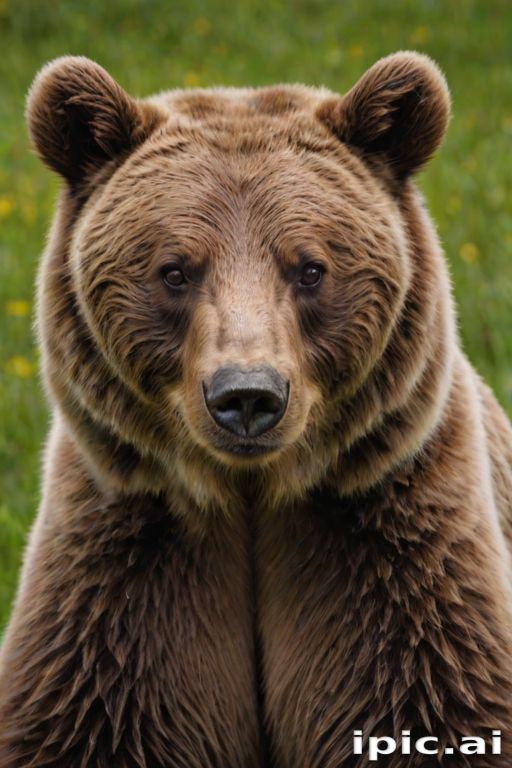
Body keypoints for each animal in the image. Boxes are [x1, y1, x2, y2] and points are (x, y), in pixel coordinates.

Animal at [1, 50, 512, 767]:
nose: (247, 395)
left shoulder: (393, 553)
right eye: (175, 270)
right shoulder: (126, 569)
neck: (251, 495)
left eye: (310, 268)